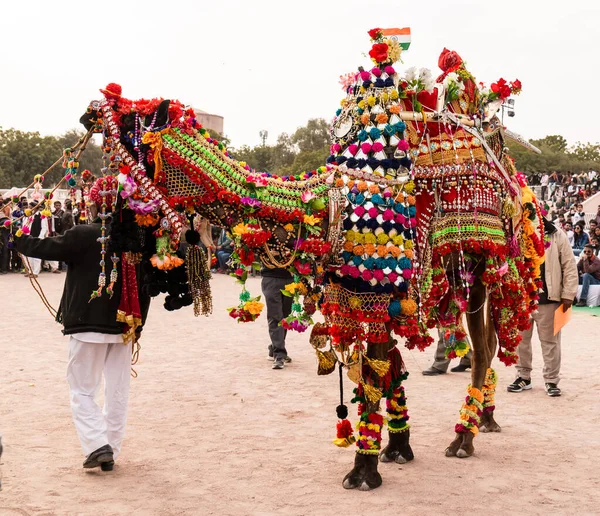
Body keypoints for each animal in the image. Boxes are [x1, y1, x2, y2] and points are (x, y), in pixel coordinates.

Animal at [8, 29, 544, 492]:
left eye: (133, 112)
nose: (91, 109)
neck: (323, 205)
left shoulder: (377, 292)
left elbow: (373, 376)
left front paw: (363, 472)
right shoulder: (365, 296)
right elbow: (388, 369)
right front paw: (397, 450)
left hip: (486, 268)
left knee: (484, 347)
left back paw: (465, 436)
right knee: (483, 347)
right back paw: (484, 420)